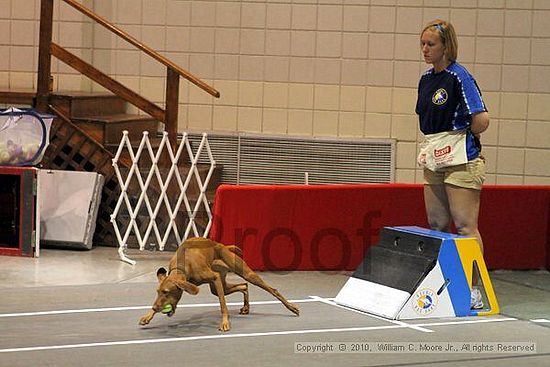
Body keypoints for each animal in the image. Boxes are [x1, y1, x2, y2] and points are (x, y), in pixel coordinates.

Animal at [140, 237, 300, 332]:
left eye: (166, 292)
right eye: (158, 292)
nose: (155, 308)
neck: (182, 266)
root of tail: (223, 245)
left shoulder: (214, 278)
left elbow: (223, 305)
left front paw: (225, 322)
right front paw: (148, 316)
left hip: (245, 274)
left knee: (271, 289)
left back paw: (291, 307)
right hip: (219, 285)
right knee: (244, 286)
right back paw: (246, 307)